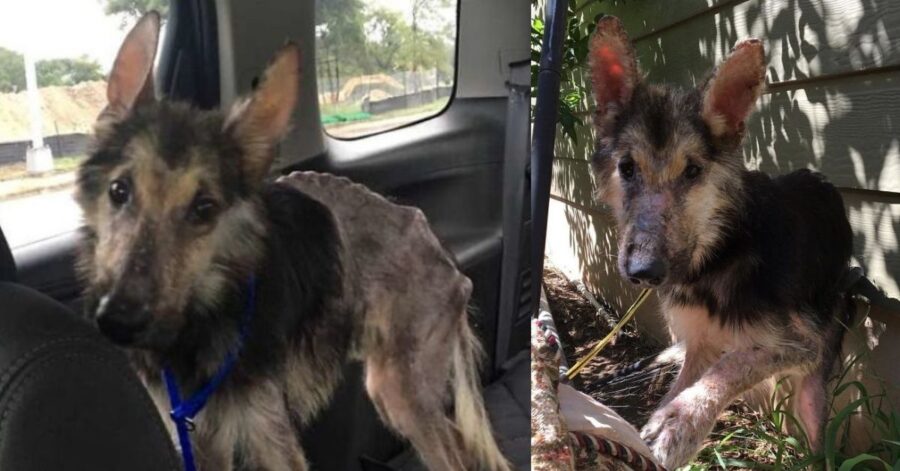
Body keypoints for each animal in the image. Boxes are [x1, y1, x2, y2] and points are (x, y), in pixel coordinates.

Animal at [74, 12, 510, 471]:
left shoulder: (270, 432)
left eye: (204, 208)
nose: (117, 321)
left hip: (402, 390)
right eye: (119, 190)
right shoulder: (200, 436)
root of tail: (444, 256)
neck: (201, 315)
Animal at [588, 16, 856, 470]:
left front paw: (681, 421)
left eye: (693, 171)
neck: (720, 252)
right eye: (626, 168)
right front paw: (660, 424)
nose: (644, 272)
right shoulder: (700, 344)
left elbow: (734, 365)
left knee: (814, 437)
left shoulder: (801, 345)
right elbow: (686, 381)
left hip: (815, 379)